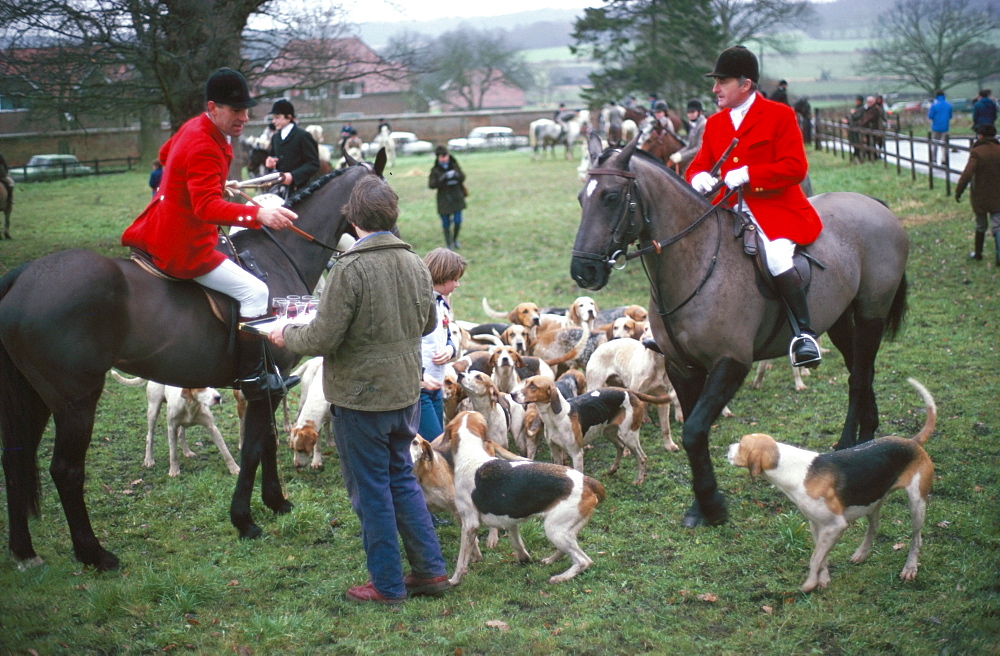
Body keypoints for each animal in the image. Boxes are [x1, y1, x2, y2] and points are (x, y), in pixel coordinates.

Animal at [0, 151, 388, 572]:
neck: (279, 256)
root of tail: (23, 276)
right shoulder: (263, 383)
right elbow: (254, 446)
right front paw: (244, 520)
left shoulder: (269, 384)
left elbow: (267, 441)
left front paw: (275, 502)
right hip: (76, 402)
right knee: (66, 471)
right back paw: (95, 554)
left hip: (34, 398)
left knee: (16, 461)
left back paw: (25, 552)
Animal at [572, 133, 908, 528]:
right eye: (581, 199)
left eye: (610, 197)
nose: (583, 271)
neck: (698, 261)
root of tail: (873, 204)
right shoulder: (683, 367)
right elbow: (694, 432)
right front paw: (700, 507)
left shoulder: (731, 362)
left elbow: (694, 430)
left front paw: (713, 505)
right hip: (840, 318)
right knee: (860, 369)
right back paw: (860, 438)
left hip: (872, 312)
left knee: (860, 375)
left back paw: (855, 443)